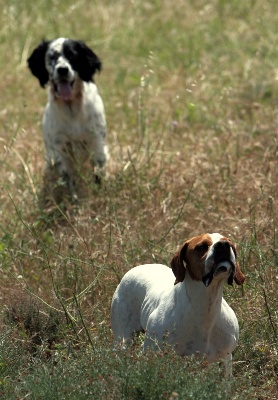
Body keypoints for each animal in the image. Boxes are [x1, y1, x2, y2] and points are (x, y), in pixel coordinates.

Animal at [27, 38, 107, 198]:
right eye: (52, 57)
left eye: (72, 55)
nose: (62, 69)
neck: (72, 108)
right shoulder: (60, 147)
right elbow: (69, 178)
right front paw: (74, 199)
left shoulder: (96, 141)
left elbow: (97, 173)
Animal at [111, 231, 245, 376]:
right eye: (201, 247)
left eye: (230, 244)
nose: (223, 245)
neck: (203, 308)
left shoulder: (225, 358)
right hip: (123, 340)